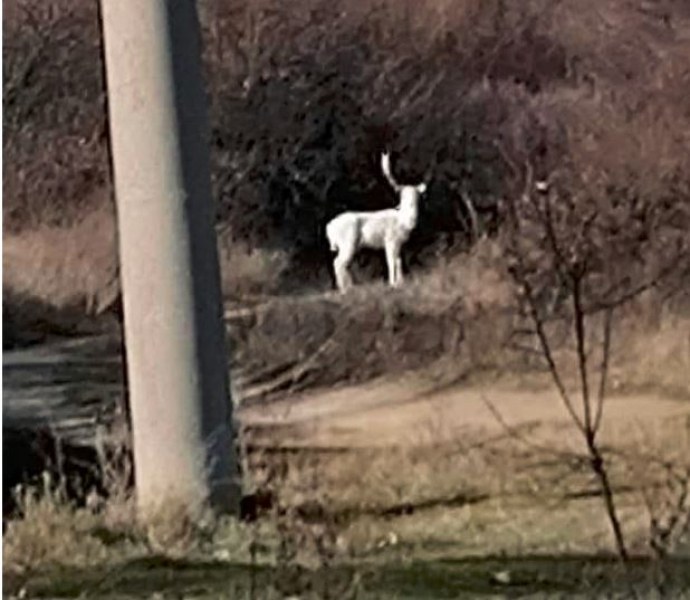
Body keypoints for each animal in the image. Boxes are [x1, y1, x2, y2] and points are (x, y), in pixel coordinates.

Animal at [324, 152, 424, 292]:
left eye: (417, 195)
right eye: (402, 195)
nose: (411, 204)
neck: (403, 222)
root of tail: (329, 228)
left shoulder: (400, 243)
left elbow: (398, 262)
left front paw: (401, 282)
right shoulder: (390, 240)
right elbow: (390, 262)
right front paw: (392, 284)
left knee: (340, 264)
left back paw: (348, 286)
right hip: (347, 243)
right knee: (338, 263)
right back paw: (345, 289)